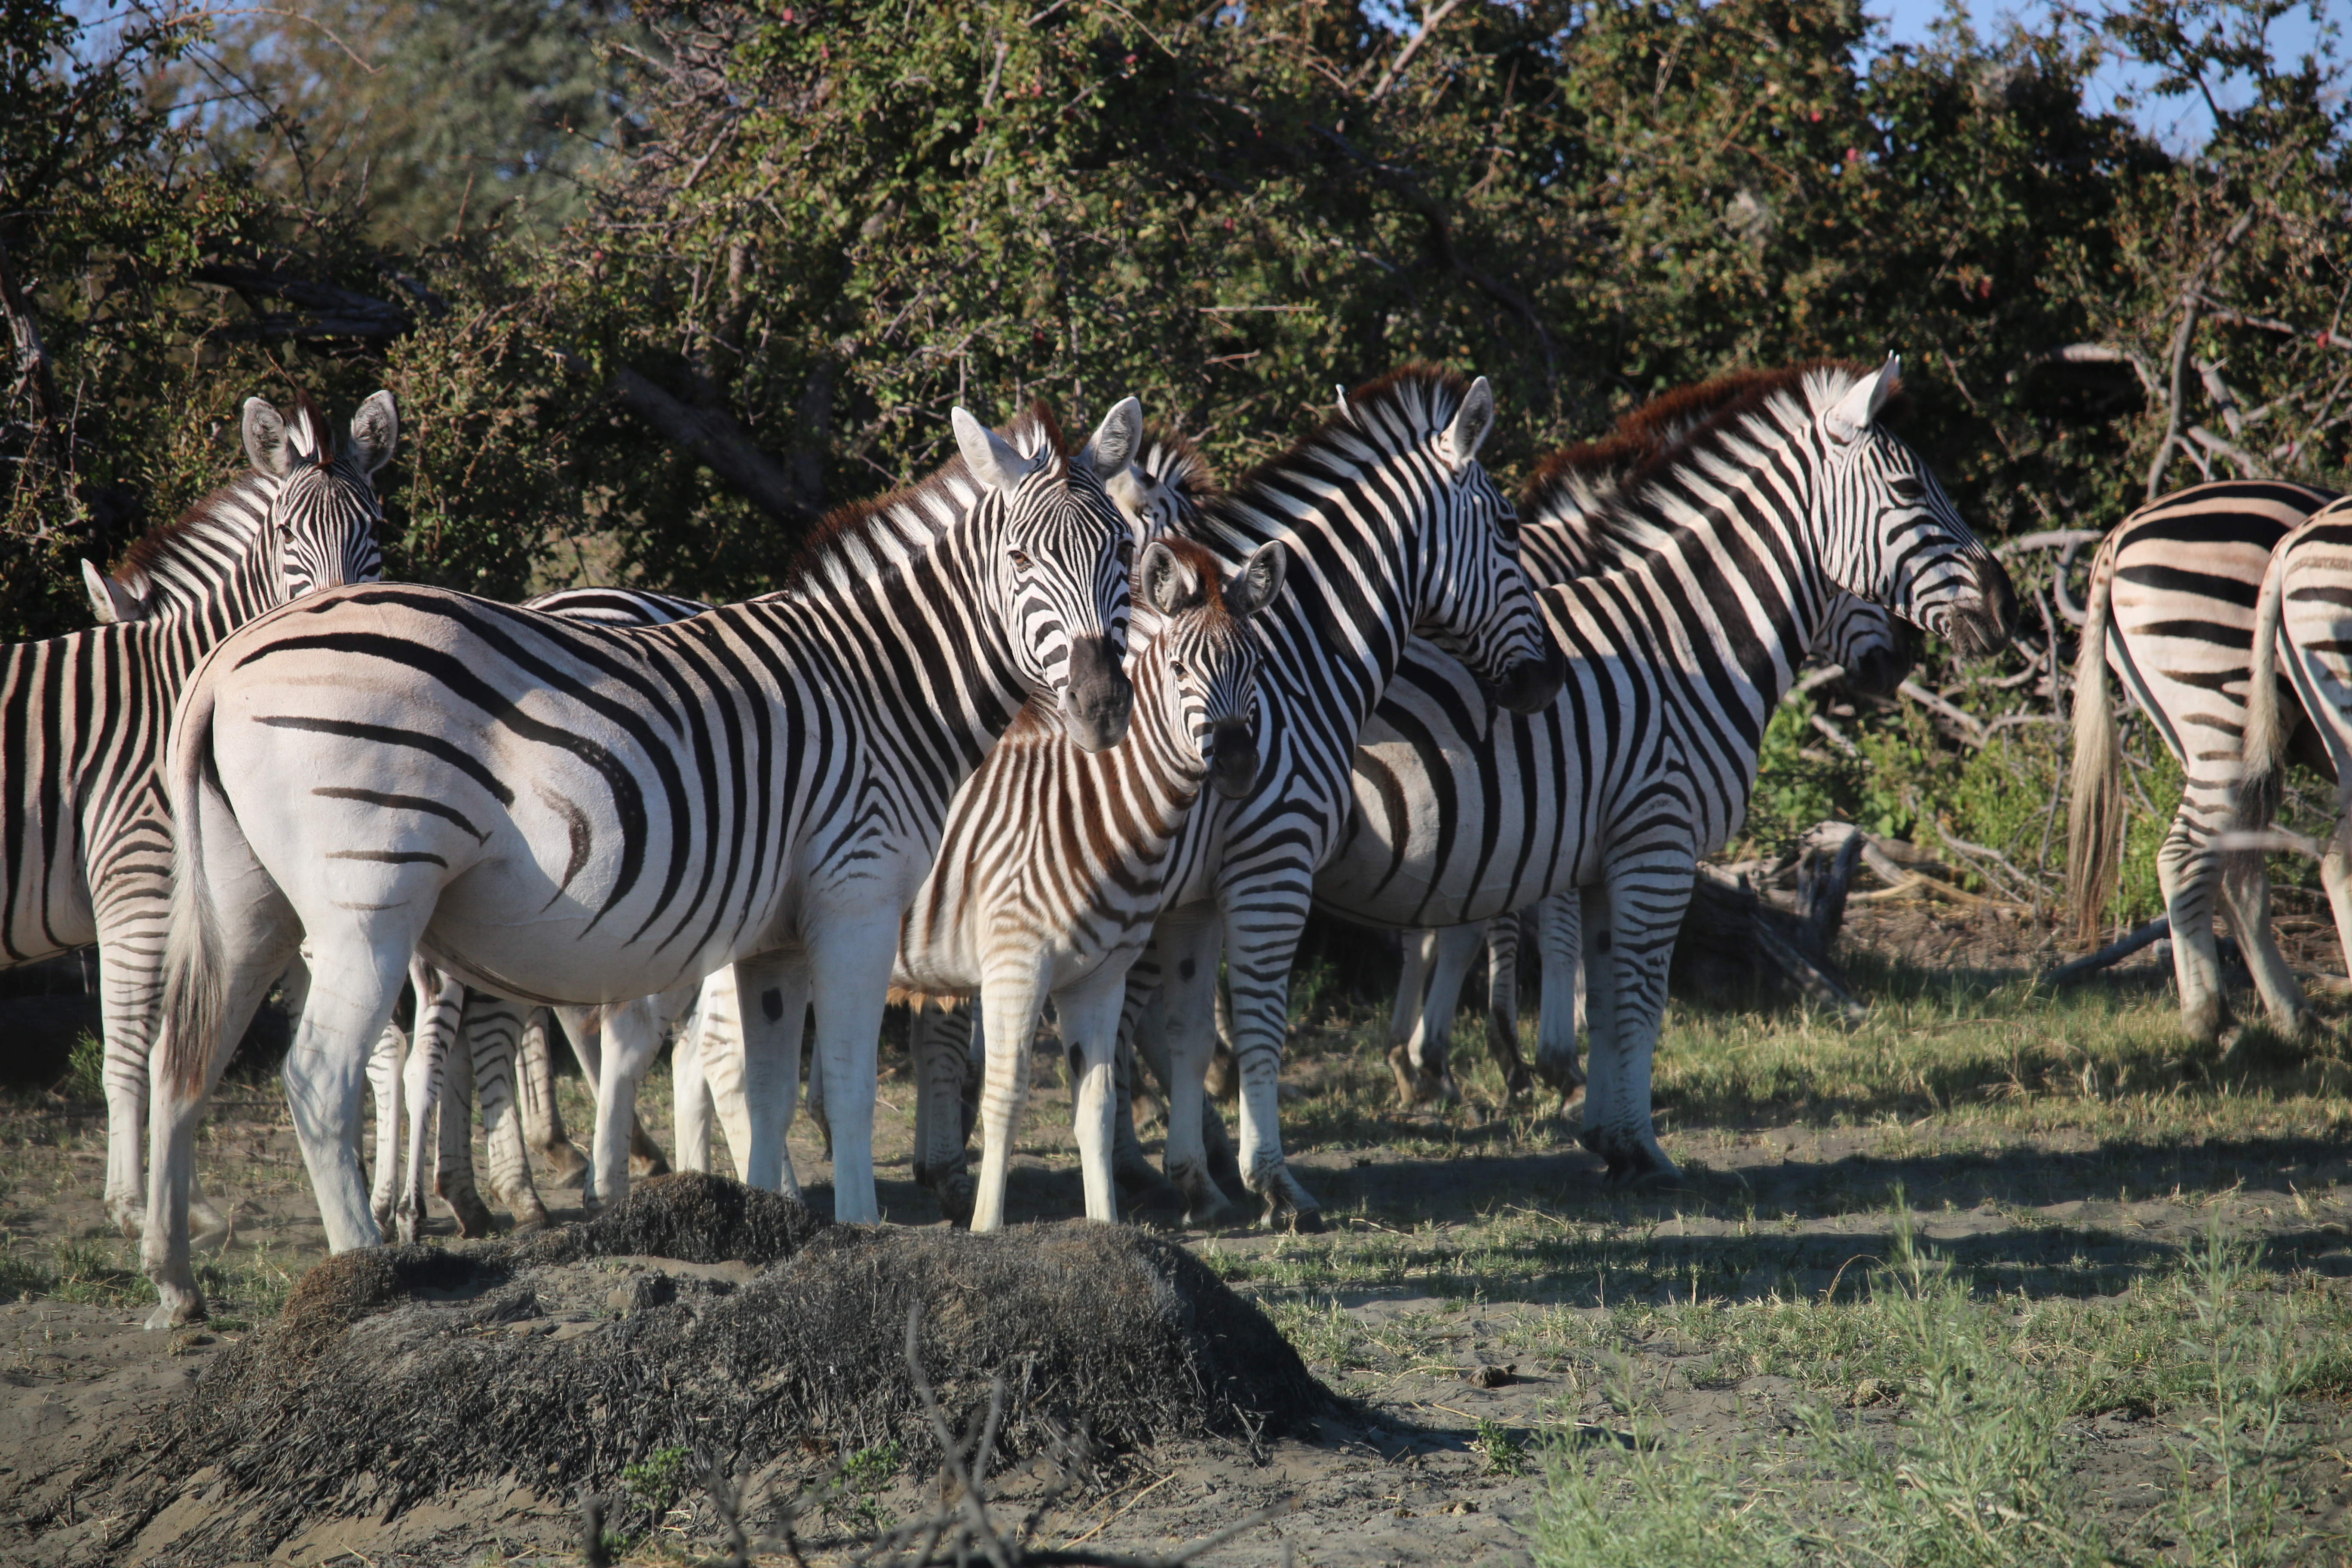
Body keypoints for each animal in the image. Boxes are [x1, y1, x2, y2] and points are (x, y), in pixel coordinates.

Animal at [0, 390, 395, 1241]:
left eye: (376, 530)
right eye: (286, 537)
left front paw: (182, 1202)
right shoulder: (138, 884)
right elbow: (134, 1045)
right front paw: (132, 1203)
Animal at [138, 395, 1148, 1326]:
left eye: (1125, 556)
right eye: (1021, 562)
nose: (1102, 709)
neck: (883, 689)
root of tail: (226, 660)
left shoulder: (774, 939)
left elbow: (769, 1093)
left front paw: (785, 1232)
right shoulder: (853, 899)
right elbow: (848, 1084)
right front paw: (859, 1231)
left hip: (250, 904)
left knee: (181, 1060)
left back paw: (175, 1283)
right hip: (367, 903)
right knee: (316, 1076)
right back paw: (364, 1274)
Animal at [1317, 362, 2013, 1185]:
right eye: (1909, 489)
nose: (2004, 605)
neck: (1679, 641)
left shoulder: (1573, 839)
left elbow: (1596, 986)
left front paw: (1587, 1121)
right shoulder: (1648, 838)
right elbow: (1633, 994)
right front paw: (1622, 1133)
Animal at [2070, 479, 2324, 1044]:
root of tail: (2118, 536)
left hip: (2199, 734)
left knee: (2230, 868)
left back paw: (2293, 1018)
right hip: (2228, 707)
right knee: (2188, 857)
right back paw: (2213, 1020)